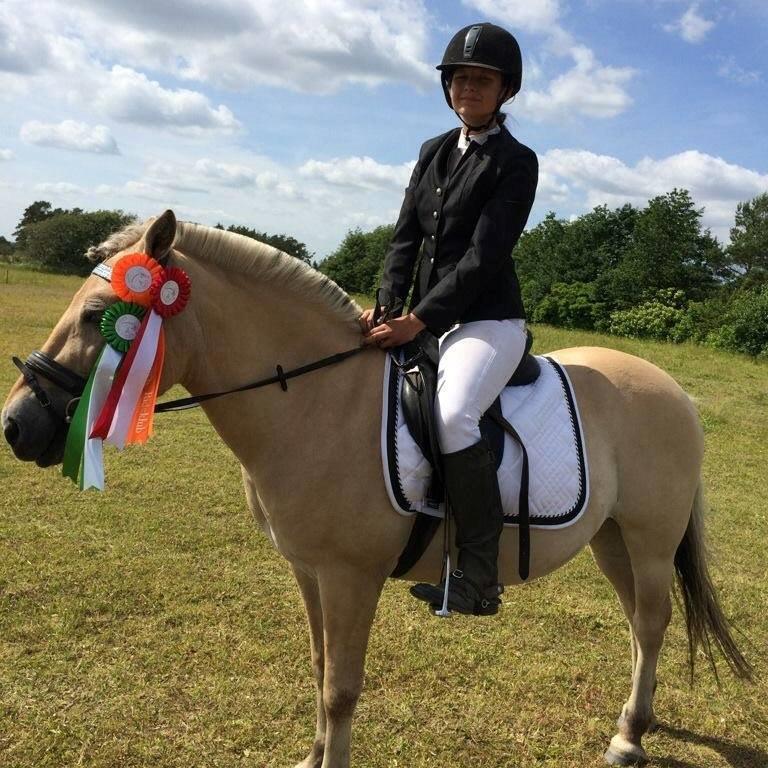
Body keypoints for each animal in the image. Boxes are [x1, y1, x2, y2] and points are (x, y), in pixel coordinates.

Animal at [2, 211, 751, 767]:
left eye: (100, 315)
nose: (16, 427)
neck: (312, 398)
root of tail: (673, 389)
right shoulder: (308, 571)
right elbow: (317, 665)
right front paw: (310, 755)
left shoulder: (349, 576)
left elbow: (341, 687)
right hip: (613, 540)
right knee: (640, 624)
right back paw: (633, 722)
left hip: (650, 541)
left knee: (651, 621)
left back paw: (628, 739)